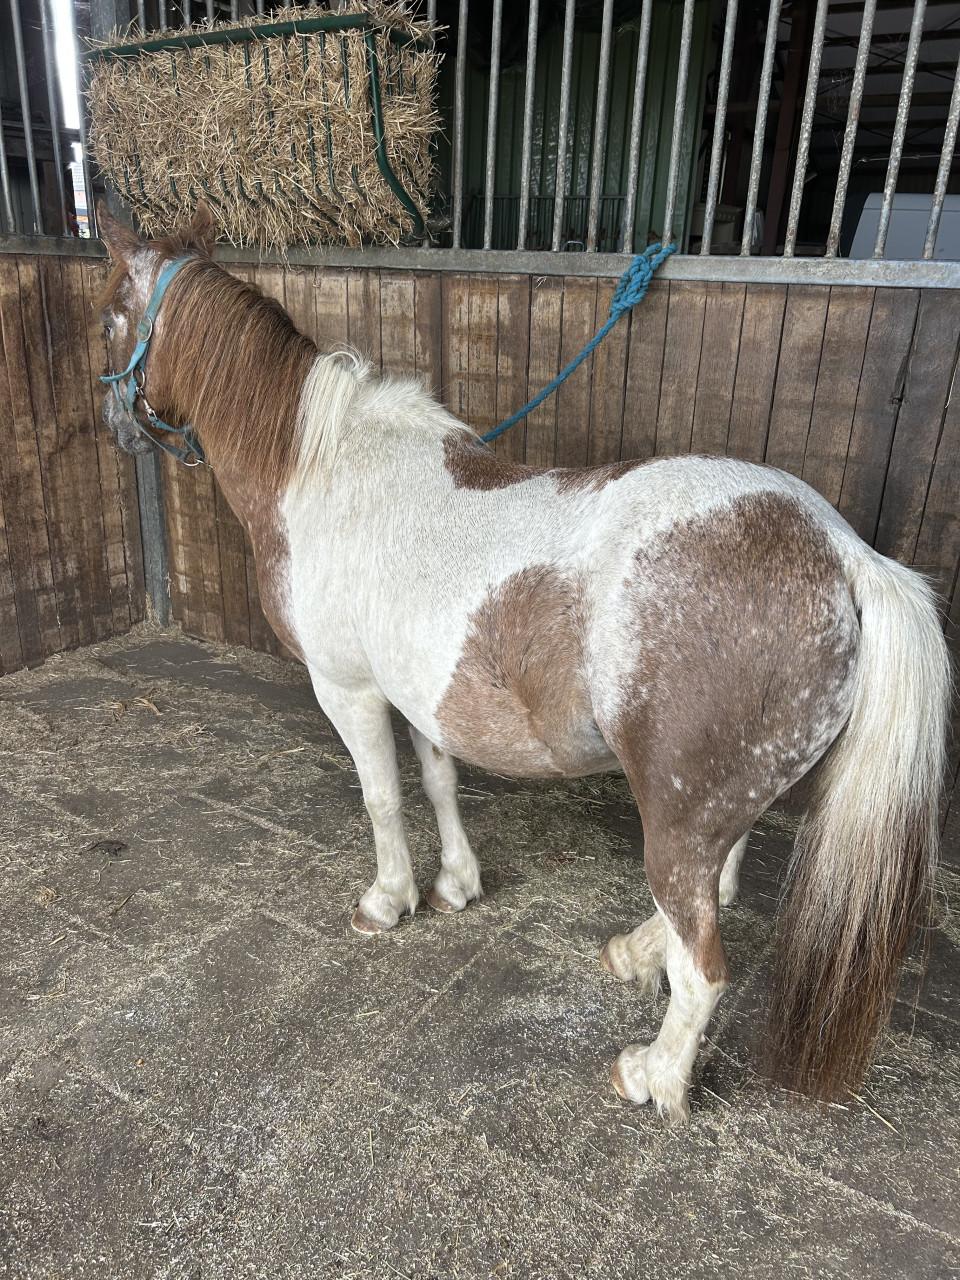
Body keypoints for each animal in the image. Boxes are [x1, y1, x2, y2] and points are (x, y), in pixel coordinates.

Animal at [96, 203, 951, 1123]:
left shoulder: (349, 688)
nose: (112, 422)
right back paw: (634, 953)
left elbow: (381, 798)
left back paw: (654, 1075)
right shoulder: (419, 692)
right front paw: (455, 885)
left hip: (678, 816)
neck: (324, 474)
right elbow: (438, 783)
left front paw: (388, 901)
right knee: (710, 893)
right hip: (722, 802)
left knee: (704, 961)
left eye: (110, 316)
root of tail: (843, 553)